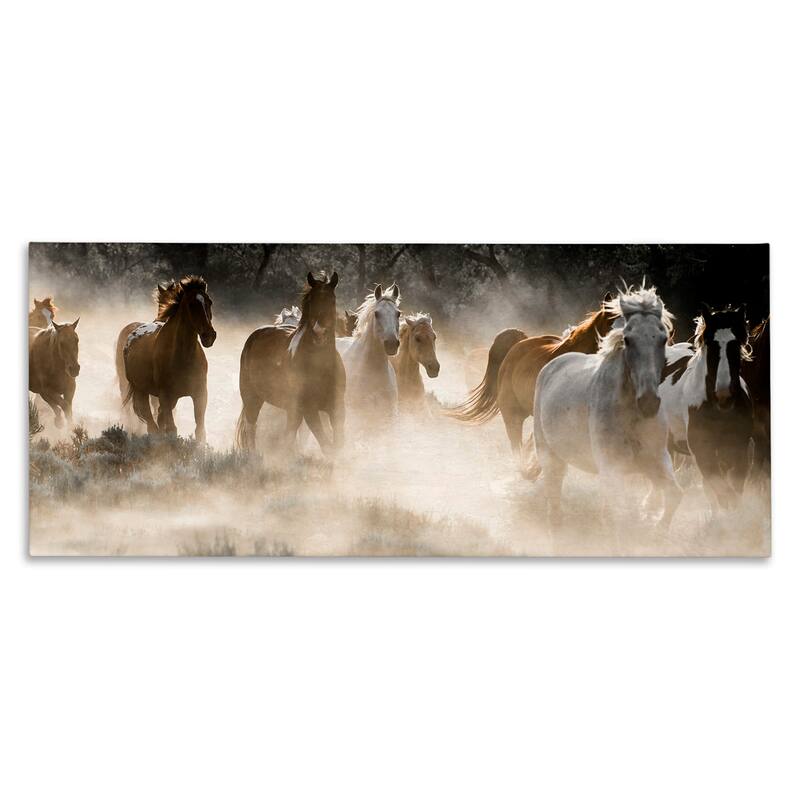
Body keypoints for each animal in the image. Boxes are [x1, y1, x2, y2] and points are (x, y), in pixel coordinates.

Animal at [116, 276, 216, 441]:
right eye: (191, 304)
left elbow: (200, 431)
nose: (209, 336)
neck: (182, 356)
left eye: (209, 302)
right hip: (141, 391)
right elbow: (171, 429)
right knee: (151, 423)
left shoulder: (200, 394)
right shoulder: (165, 396)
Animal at [236, 271, 345, 455]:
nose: (319, 332)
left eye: (332, 300)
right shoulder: (309, 410)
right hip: (252, 397)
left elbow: (337, 444)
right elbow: (326, 445)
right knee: (251, 427)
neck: (320, 367)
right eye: (311, 301)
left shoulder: (336, 409)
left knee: (289, 433)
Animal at [533, 286, 680, 530]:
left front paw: (658, 528)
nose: (649, 402)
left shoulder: (656, 461)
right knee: (554, 507)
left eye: (663, 338)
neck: (630, 414)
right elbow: (618, 518)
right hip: (550, 457)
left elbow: (673, 495)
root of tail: (553, 365)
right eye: (628, 340)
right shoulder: (613, 470)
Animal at [660, 304, 754, 508]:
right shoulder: (703, 452)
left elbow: (732, 495)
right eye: (710, 345)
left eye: (737, 344)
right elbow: (724, 495)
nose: (724, 396)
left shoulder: (739, 452)